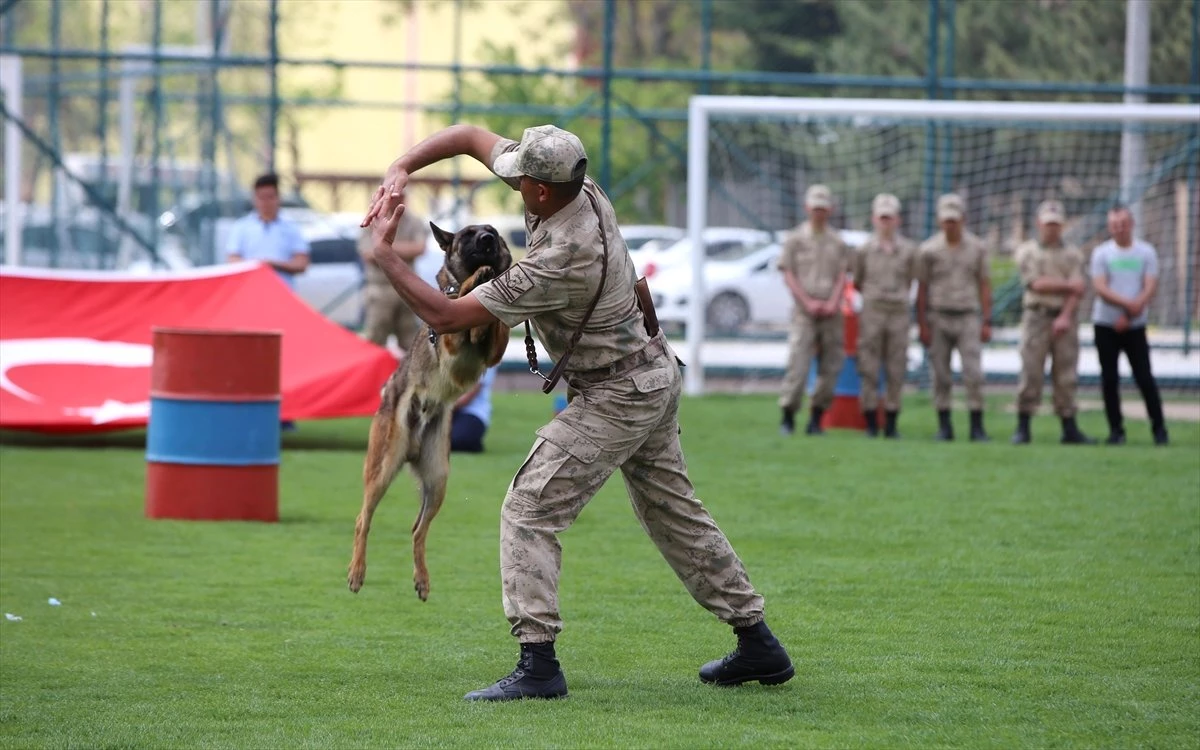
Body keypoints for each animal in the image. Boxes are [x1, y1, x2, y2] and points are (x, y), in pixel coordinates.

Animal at [350, 223, 513, 602]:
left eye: (492, 232)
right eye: (469, 234)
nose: (487, 240)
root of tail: (411, 447)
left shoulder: (495, 352)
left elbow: (493, 322)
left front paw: (487, 287)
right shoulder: (451, 338)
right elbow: (465, 299)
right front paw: (476, 282)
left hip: (438, 480)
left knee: (417, 530)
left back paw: (422, 579)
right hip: (382, 469)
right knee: (364, 519)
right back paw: (357, 573)